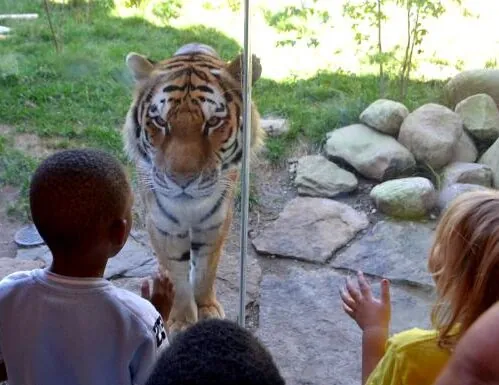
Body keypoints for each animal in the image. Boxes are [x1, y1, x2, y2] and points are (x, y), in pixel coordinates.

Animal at [123, 42, 266, 336]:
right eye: (160, 121)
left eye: (212, 122)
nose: (181, 179)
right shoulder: (163, 225)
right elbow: (176, 272)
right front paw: (180, 319)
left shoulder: (216, 222)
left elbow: (205, 269)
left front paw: (207, 309)